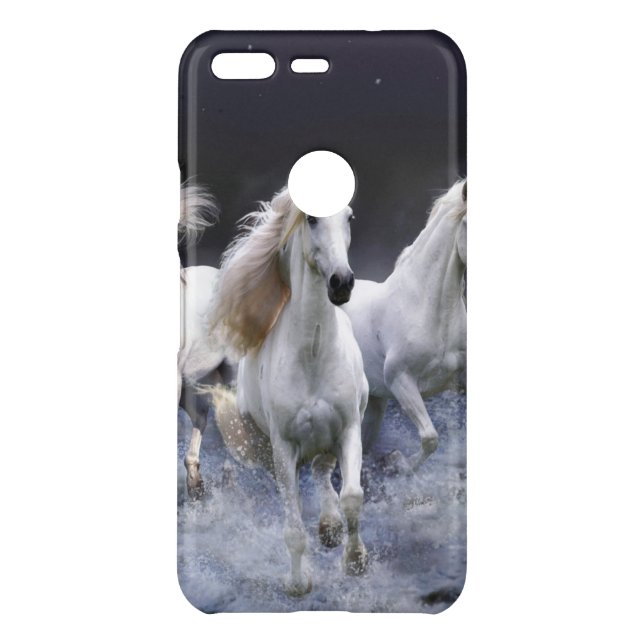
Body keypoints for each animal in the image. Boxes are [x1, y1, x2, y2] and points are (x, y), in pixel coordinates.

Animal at [210, 188, 369, 595]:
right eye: (311, 219)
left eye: (350, 217)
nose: (341, 283)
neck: (312, 354)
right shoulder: (283, 447)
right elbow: (293, 526)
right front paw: (299, 583)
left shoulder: (349, 428)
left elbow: (352, 498)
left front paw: (355, 562)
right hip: (269, 450)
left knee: (323, 472)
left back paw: (330, 528)